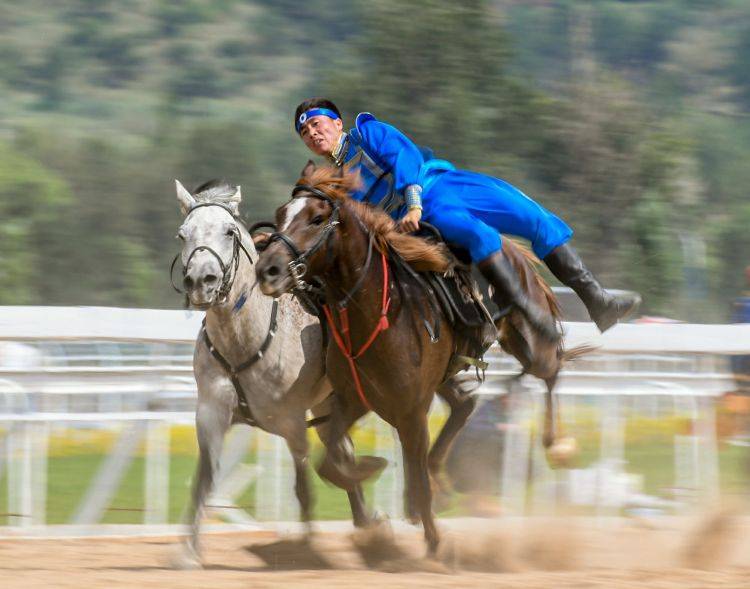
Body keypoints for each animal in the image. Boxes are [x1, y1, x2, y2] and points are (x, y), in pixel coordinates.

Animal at [172, 178, 372, 564]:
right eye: (182, 234)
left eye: (229, 231)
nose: (202, 281)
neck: (243, 340)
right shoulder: (211, 415)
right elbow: (203, 481)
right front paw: (188, 552)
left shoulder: (293, 424)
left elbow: (303, 490)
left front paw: (307, 550)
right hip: (327, 405)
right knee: (345, 454)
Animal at [258, 164, 588, 552]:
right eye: (281, 214)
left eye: (317, 217)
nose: (267, 270)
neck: (380, 311)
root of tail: (508, 247)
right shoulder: (355, 399)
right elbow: (332, 461)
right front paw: (371, 480)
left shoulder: (412, 410)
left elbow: (412, 475)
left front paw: (435, 541)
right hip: (445, 376)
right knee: (464, 404)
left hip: (529, 343)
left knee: (551, 369)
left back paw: (558, 443)